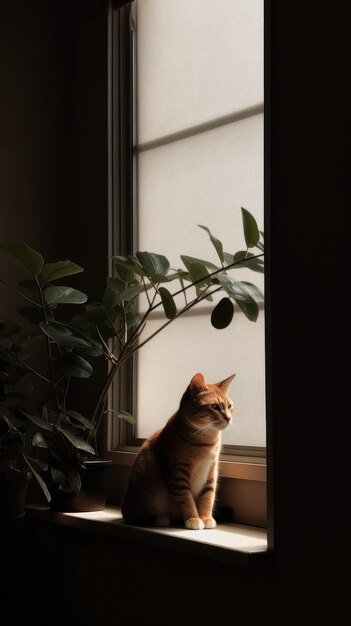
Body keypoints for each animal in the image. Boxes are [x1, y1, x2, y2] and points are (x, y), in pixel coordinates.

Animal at [121, 372, 236, 528]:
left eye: (229, 406)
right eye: (214, 406)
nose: (229, 418)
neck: (207, 441)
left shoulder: (212, 470)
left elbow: (208, 496)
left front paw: (206, 517)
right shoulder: (178, 473)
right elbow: (187, 499)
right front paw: (194, 518)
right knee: (137, 517)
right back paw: (161, 519)